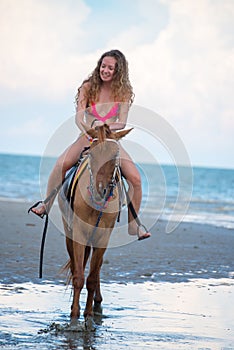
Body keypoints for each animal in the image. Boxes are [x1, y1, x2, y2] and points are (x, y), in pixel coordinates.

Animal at [58, 124, 132, 324]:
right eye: (91, 153)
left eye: (115, 155)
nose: (101, 190)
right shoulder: (78, 233)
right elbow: (78, 276)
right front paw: (74, 316)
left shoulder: (103, 236)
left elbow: (91, 277)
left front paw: (89, 314)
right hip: (70, 234)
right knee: (77, 266)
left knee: (95, 269)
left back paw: (97, 303)